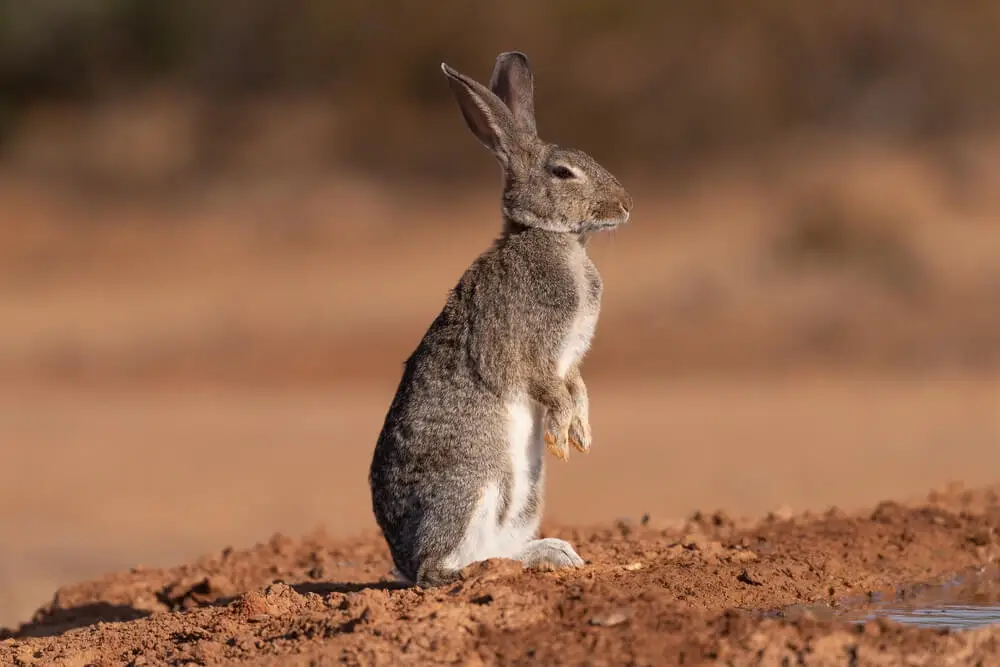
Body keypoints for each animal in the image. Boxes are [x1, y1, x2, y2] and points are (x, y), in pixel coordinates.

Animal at [368, 51, 632, 587]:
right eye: (563, 172)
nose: (625, 205)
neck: (554, 240)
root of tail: (401, 557)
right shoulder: (530, 350)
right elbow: (548, 386)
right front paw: (563, 433)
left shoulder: (570, 357)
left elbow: (576, 385)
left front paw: (581, 435)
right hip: (478, 480)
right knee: (441, 566)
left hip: (526, 496)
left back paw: (551, 554)